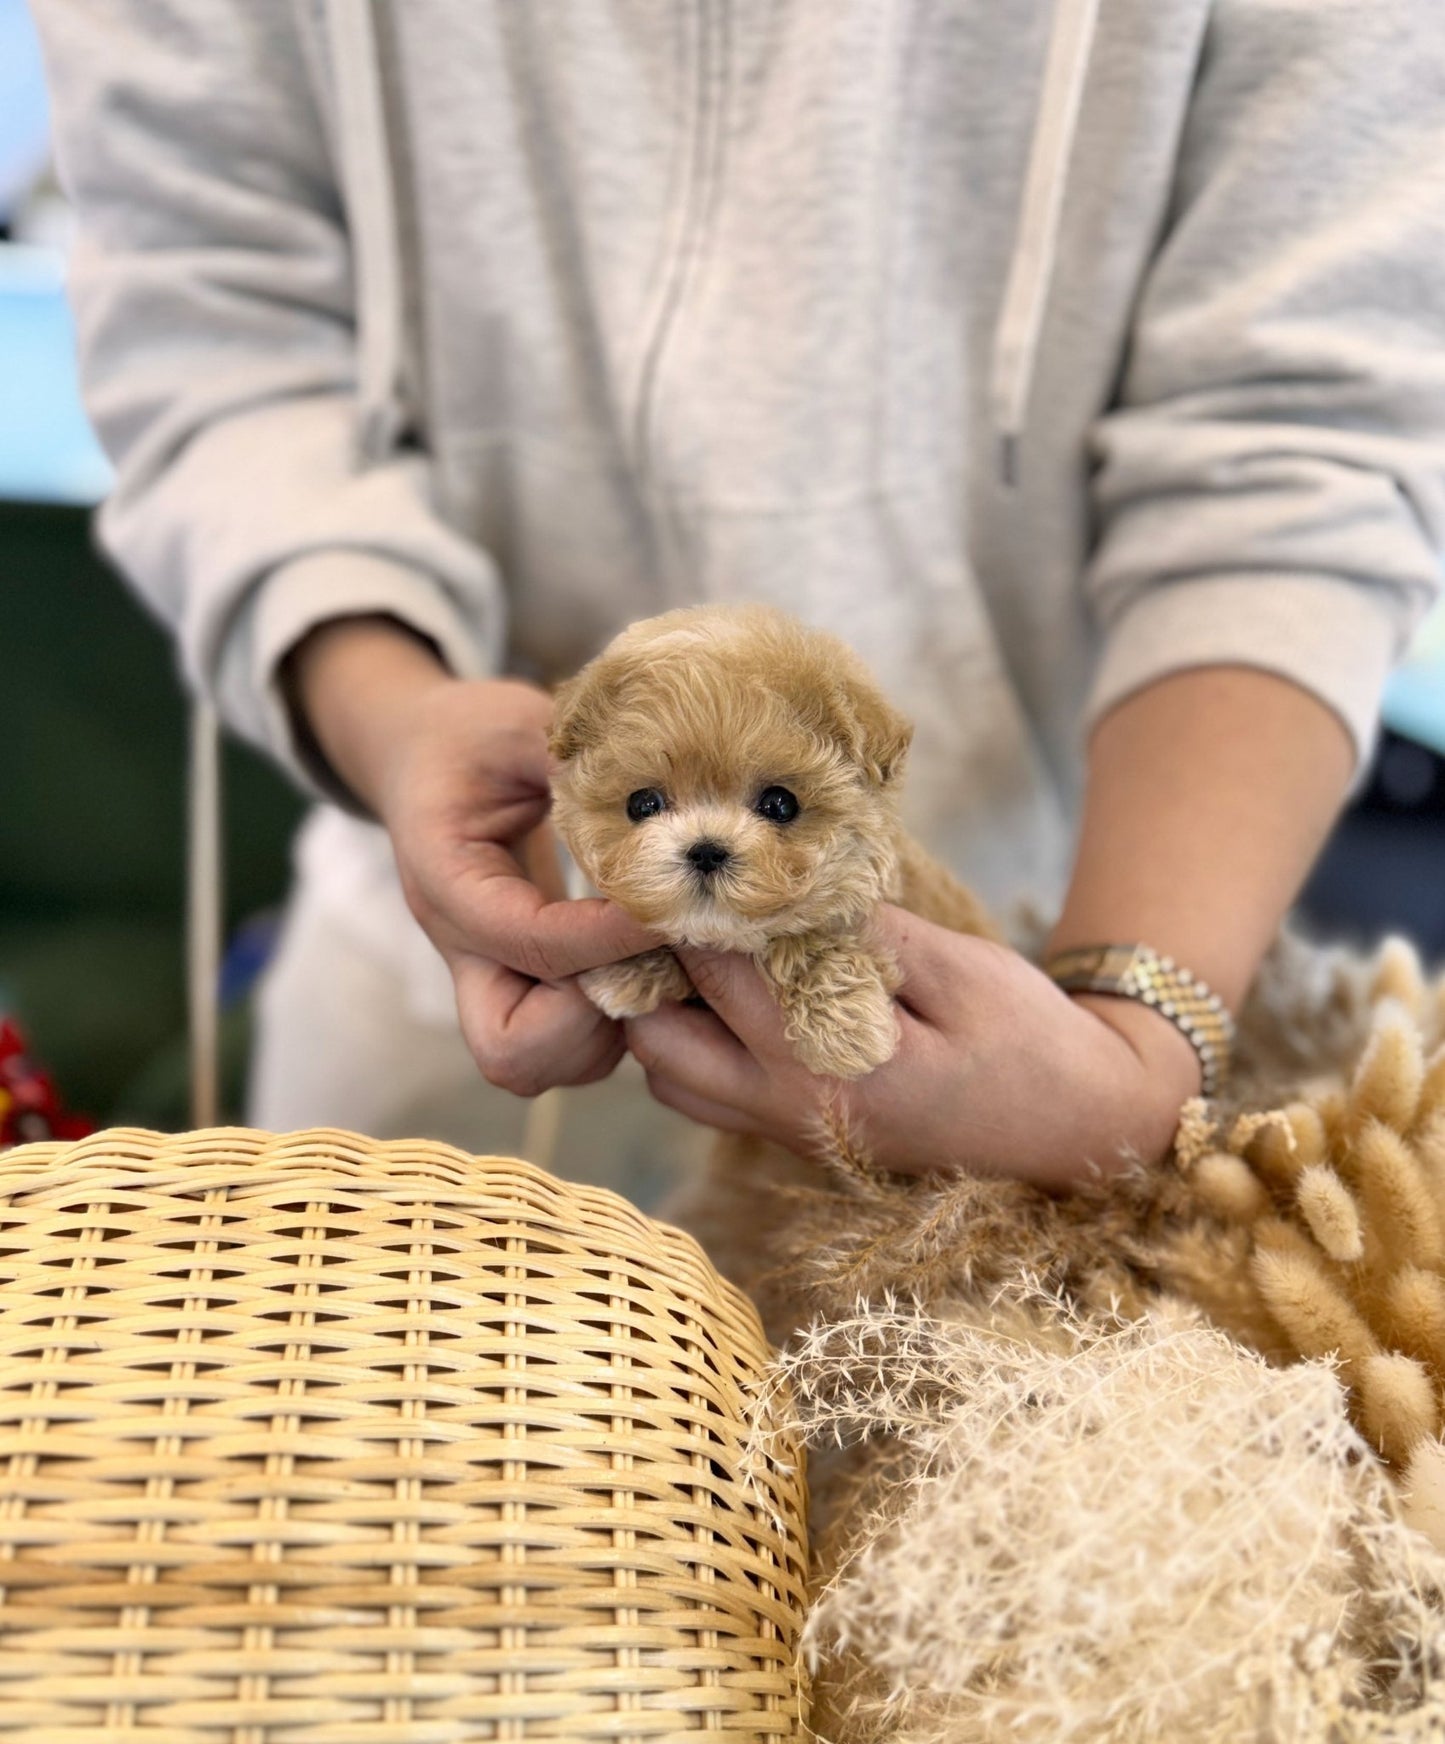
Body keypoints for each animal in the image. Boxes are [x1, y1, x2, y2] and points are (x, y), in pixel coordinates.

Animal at [547, 606, 997, 1081]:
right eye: (642, 804)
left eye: (780, 804)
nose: (706, 850)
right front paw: (629, 971)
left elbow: (807, 938)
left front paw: (844, 1028)